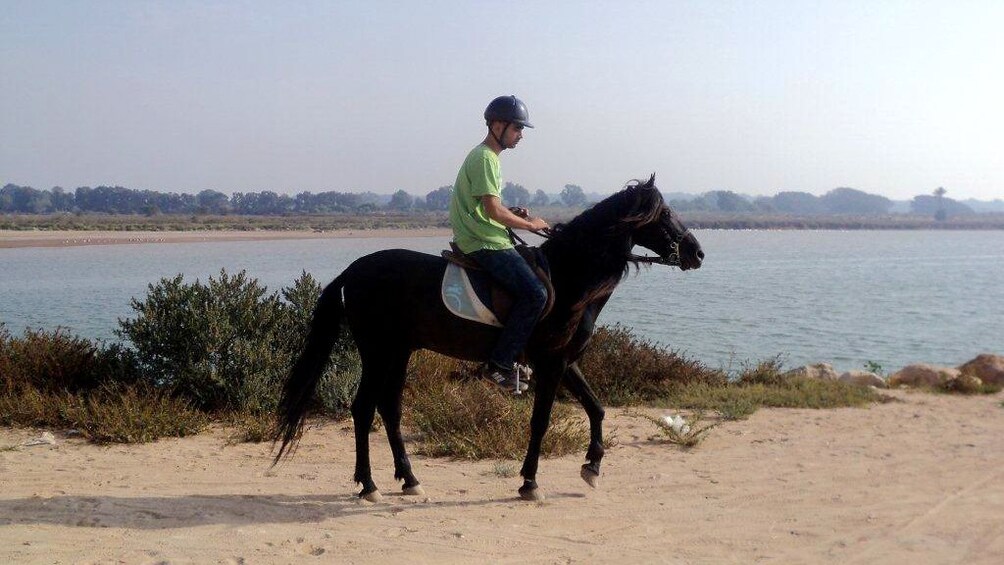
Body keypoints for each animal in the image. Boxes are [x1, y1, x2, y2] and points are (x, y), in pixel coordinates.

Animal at [271, 174, 702, 501]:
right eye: (665, 213)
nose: (696, 253)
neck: (569, 278)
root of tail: (352, 271)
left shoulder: (564, 361)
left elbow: (596, 408)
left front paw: (592, 466)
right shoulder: (551, 363)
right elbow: (541, 421)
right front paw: (530, 482)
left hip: (399, 351)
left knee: (389, 409)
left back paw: (409, 480)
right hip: (377, 351)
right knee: (363, 409)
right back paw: (369, 485)